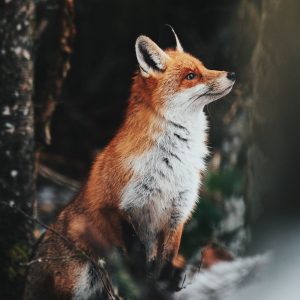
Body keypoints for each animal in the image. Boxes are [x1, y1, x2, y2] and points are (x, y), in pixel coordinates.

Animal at [24, 27, 234, 298]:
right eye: (191, 76)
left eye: (204, 66)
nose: (232, 74)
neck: (171, 163)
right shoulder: (118, 208)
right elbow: (138, 265)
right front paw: (144, 287)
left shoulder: (177, 214)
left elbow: (164, 265)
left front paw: (160, 288)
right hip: (80, 281)